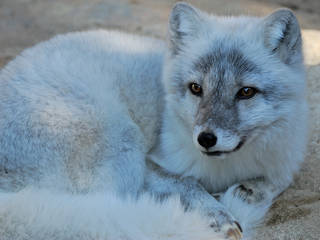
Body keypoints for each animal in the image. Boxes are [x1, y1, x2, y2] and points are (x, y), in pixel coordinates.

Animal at [0, 1, 308, 240]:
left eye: (246, 92)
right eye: (196, 88)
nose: (206, 139)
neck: (228, 168)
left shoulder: (285, 162)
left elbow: (276, 181)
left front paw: (248, 191)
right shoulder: (151, 164)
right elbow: (188, 183)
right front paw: (217, 215)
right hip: (122, 142)